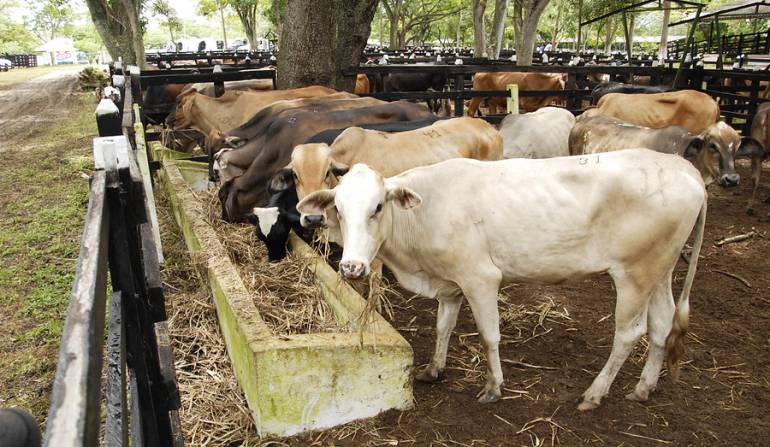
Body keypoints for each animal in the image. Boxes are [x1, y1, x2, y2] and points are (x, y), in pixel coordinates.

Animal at [297, 150, 707, 410]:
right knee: (662, 324)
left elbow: (489, 335)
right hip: (660, 270)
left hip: (634, 274)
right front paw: (433, 369)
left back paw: (595, 393)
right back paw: (644, 387)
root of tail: (683, 166)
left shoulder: (480, 278)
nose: (351, 267)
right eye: (338, 208)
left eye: (378, 207)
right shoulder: (450, 285)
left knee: (629, 333)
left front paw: (493, 386)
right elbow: (443, 327)